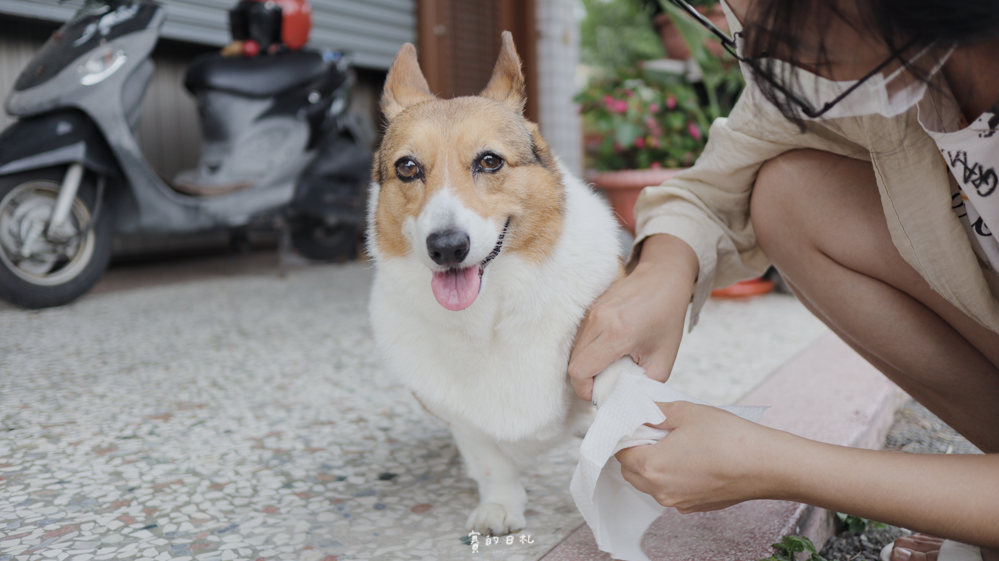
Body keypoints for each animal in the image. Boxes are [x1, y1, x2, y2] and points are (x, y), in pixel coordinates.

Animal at [368, 31, 620, 532]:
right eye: (407, 167)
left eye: (489, 161)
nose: (447, 247)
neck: (493, 311)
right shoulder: (462, 418)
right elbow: (489, 460)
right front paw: (501, 507)